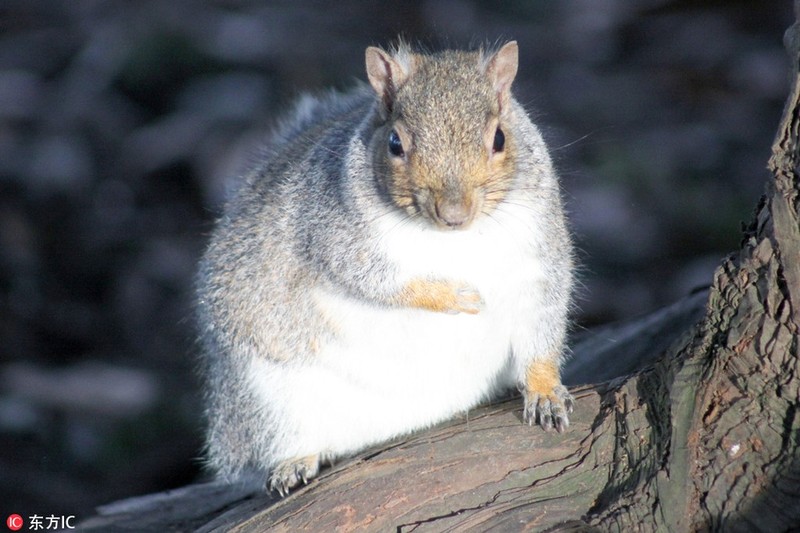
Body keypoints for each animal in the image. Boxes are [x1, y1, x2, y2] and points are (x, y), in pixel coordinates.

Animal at [198, 40, 576, 494]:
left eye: (500, 138)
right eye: (395, 143)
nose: (453, 214)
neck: (455, 242)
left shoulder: (538, 256)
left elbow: (544, 317)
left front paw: (545, 392)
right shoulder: (334, 236)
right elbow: (377, 282)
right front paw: (453, 296)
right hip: (267, 400)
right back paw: (294, 461)